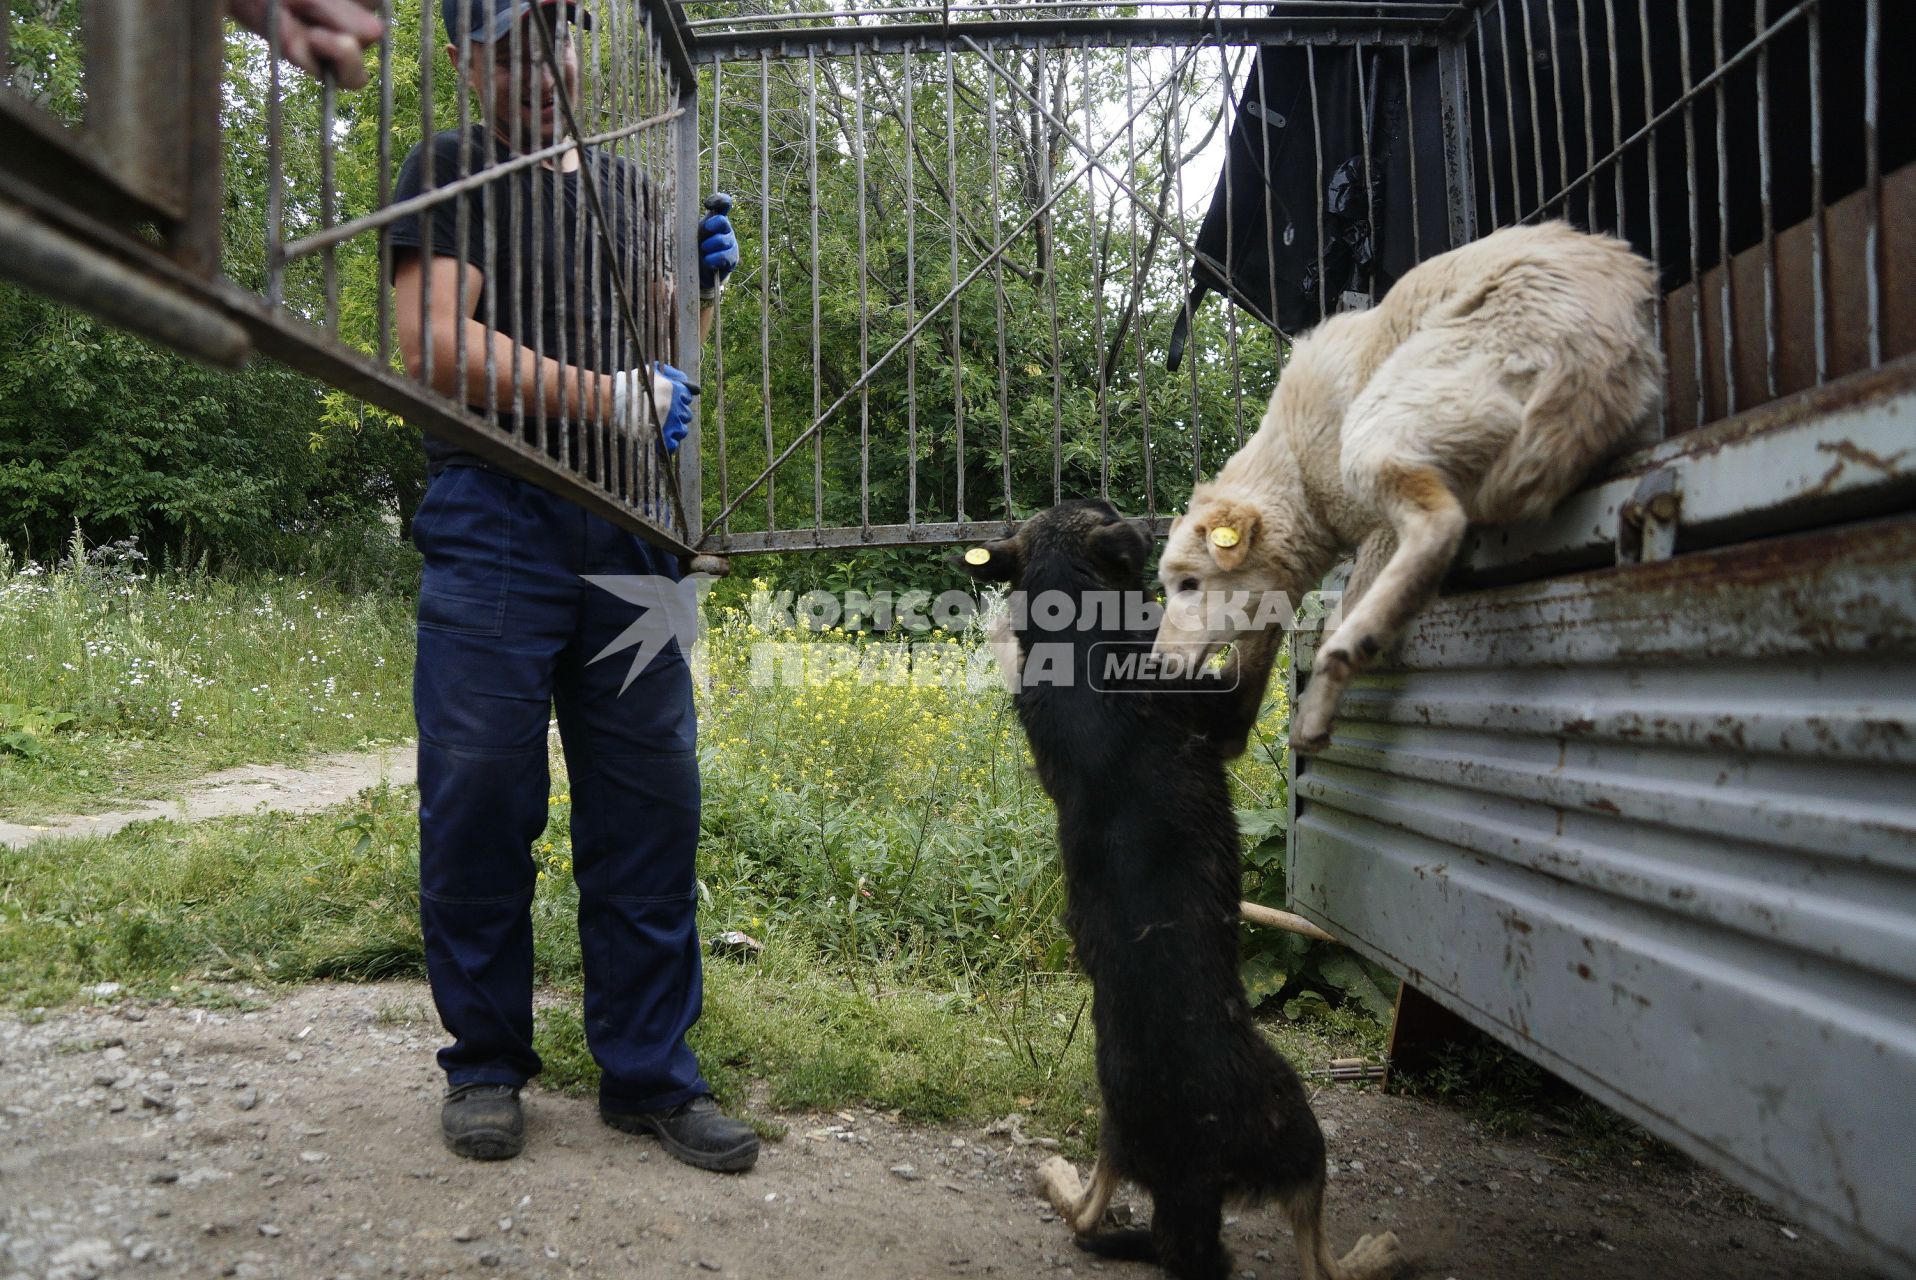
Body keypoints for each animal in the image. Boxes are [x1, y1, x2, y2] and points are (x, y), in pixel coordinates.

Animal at [958, 498, 1410, 1280]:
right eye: (1108, 509)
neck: (1073, 625)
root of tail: (1185, 1183)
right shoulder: (1223, 715)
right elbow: (1255, 647)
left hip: (1117, 1134)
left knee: (1088, 1214)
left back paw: (1059, 1178)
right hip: (1297, 1126)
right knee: (1317, 1255)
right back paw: (1373, 1252)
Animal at [1149, 220, 1663, 751]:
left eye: (1190, 584)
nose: (1156, 664)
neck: (1294, 465)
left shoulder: (1377, 532)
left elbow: (1339, 610)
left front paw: (1315, 707)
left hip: (1378, 424)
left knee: (1441, 523)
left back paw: (1350, 651)